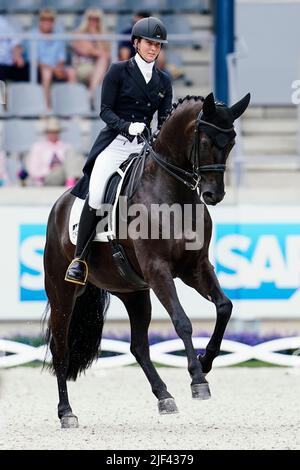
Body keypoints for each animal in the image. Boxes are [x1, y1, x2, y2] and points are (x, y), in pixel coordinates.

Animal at [44, 90, 251, 428]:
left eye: (231, 141)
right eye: (205, 140)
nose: (213, 195)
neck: (174, 195)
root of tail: (60, 204)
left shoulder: (195, 267)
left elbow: (224, 307)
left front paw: (206, 361)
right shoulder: (158, 271)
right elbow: (182, 322)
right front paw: (198, 380)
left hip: (133, 292)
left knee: (138, 346)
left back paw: (165, 397)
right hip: (63, 291)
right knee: (60, 347)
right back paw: (66, 412)